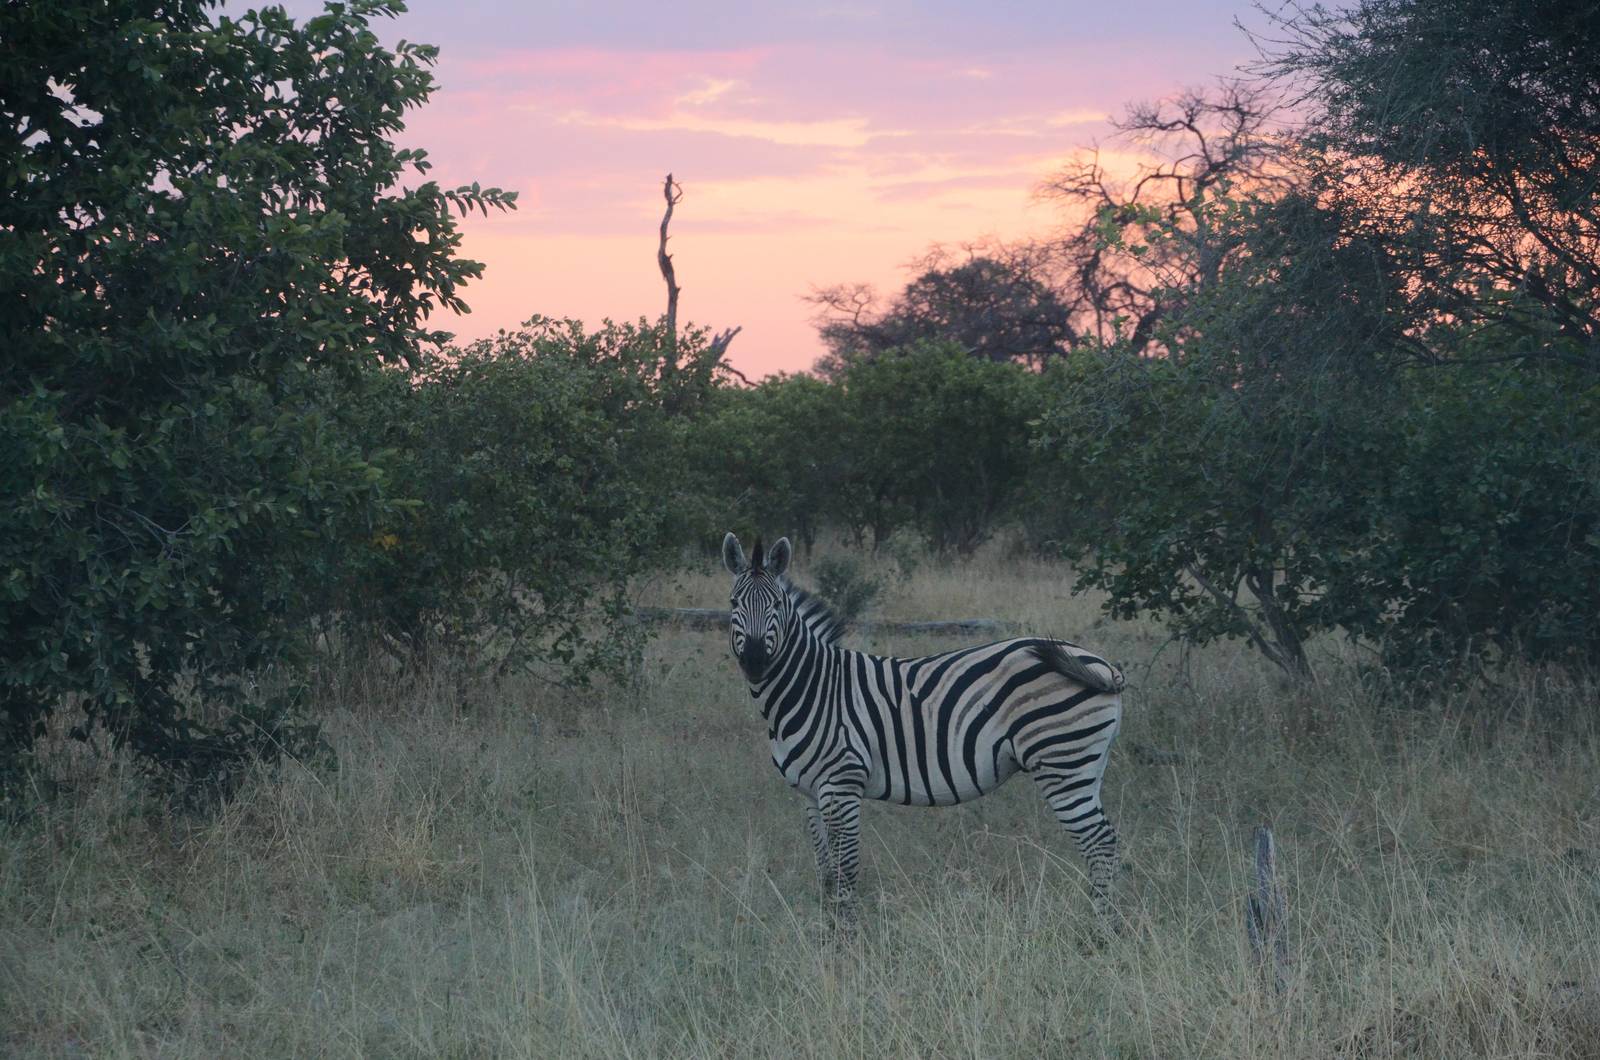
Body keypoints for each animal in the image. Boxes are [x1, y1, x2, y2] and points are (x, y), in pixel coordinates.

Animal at [722, 531, 1125, 930]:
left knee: (1099, 842)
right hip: (1086, 765)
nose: (755, 662)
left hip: (1063, 764)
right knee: (1107, 840)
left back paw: (1101, 928)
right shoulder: (809, 794)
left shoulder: (842, 784)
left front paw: (848, 935)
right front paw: (828, 928)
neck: (812, 688)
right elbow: (825, 869)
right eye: (733, 603)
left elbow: (846, 867)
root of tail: (1101, 664)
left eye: (777, 604)